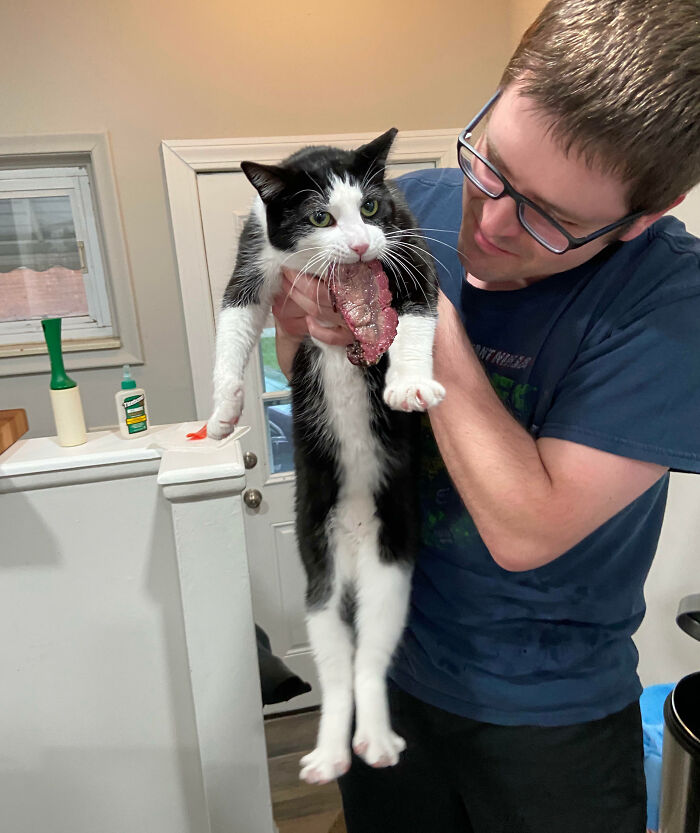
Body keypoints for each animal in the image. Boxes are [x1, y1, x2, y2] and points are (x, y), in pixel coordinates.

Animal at [206, 132, 442, 788]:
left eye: (370, 207)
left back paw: (377, 740)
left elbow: (418, 312)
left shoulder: (406, 239)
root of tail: (358, 548)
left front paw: (409, 384)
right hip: (319, 571)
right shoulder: (257, 245)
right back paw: (331, 752)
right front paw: (223, 410)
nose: (361, 245)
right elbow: (234, 320)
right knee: (337, 667)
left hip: (392, 567)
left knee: (370, 659)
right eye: (318, 218)